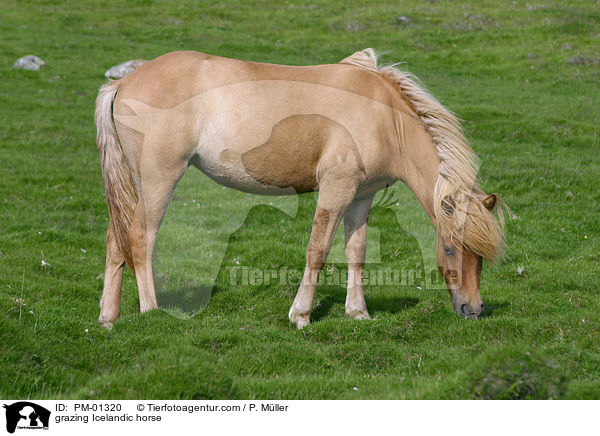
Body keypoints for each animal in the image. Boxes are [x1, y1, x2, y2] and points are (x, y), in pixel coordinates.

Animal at [96, 48, 504, 328]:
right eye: (450, 248)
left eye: (481, 256)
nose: (473, 310)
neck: (384, 116)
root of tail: (122, 83)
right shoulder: (336, 190)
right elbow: (317, 251)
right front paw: (301, 315)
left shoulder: (362, 196)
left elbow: (356, 251)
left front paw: (358, 313)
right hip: (159, 180)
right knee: (139, 238)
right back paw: (150, 311)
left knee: (116, 240)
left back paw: (108, 318)